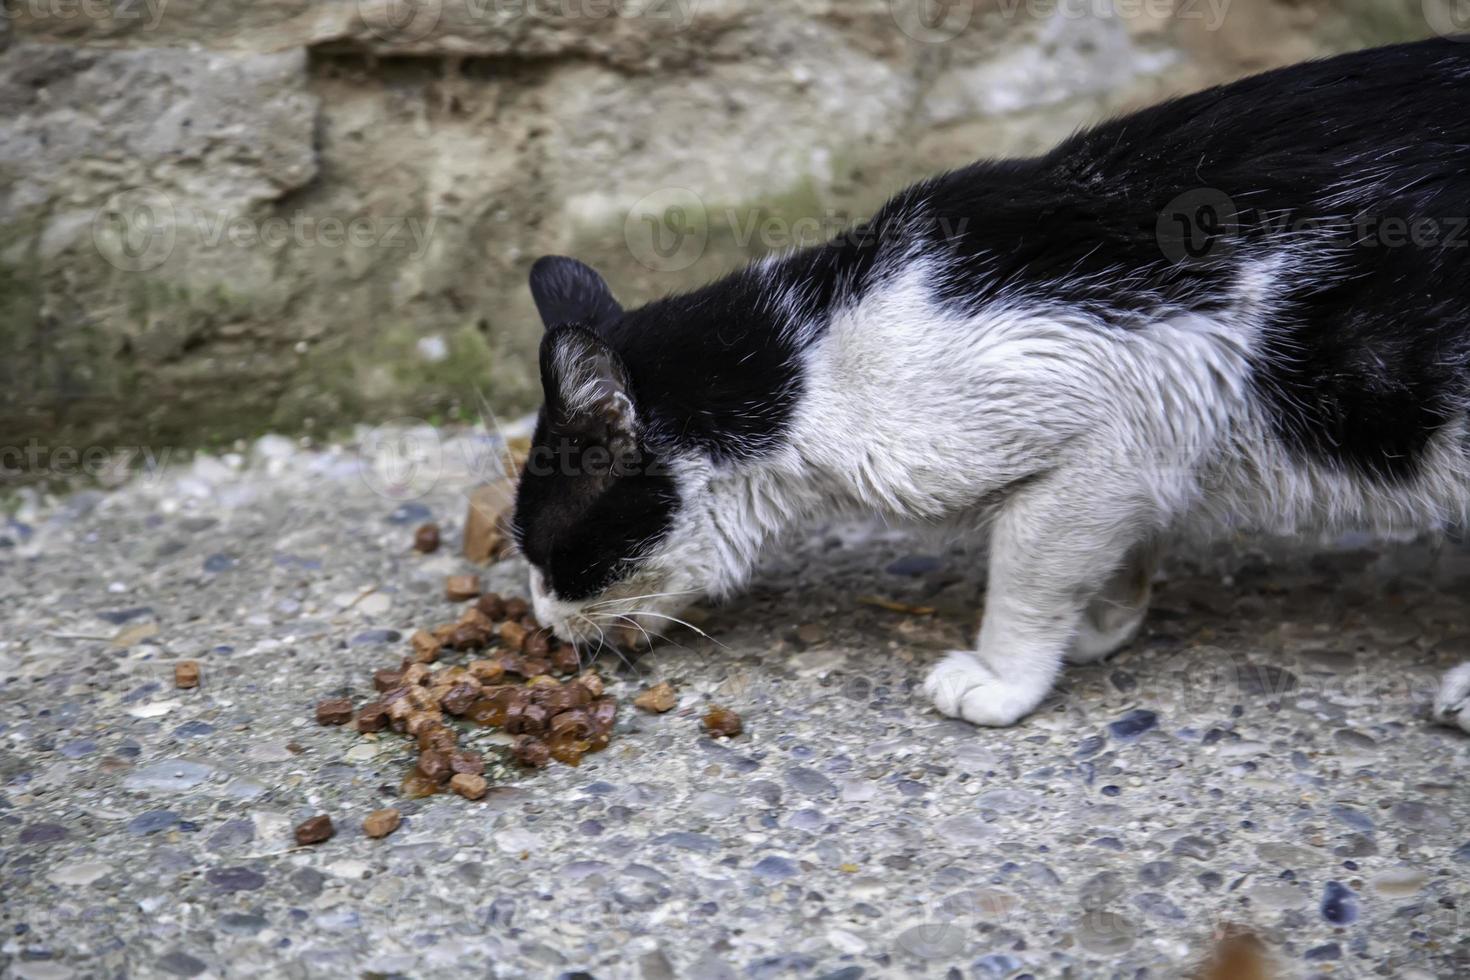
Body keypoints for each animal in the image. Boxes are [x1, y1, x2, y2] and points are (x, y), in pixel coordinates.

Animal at [511, 40, 1470, 728]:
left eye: (552, 555)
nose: (544, 624)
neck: (811, 363)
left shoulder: (1102, 428)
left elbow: (1028, 572)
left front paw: (1006, 677)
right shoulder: (1141, 458)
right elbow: (1115, 550)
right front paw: (1104, 623)